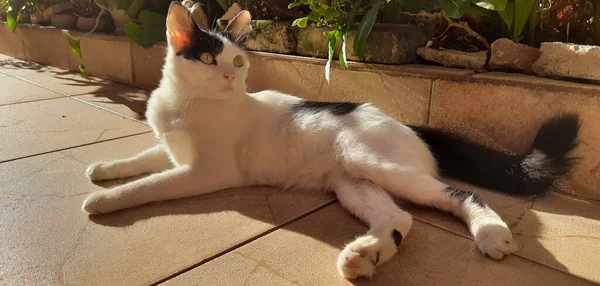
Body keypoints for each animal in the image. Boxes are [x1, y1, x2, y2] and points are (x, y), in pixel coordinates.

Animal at [82, 2, 580, 280]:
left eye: (238, 61)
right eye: (207, 59)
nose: (229, 77)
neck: (185, 102)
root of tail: (402, 122)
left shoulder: (204, 172)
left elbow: (151, 185)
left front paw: (105, 200)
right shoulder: (170, 149)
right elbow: (142, 157)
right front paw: (103, 170)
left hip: (369, 161)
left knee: (460, 194)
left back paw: (490, 232)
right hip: (352, 181)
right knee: (401, 217)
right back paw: (366, 256)